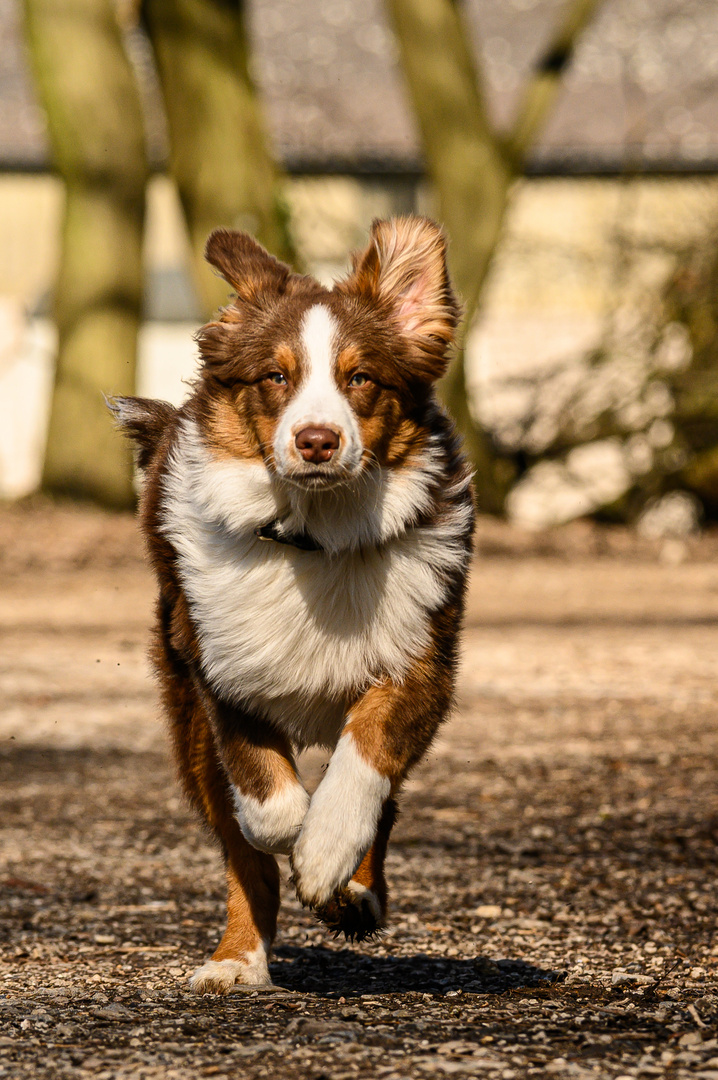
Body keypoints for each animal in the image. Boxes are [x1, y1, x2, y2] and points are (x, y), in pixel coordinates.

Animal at [109, 217, 472, 993]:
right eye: (275, 377)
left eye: (360, 378)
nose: (317, 441)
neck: (316, 537)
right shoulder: (219, 666)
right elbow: (268, 808)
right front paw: (297, 841)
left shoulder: (423, 660)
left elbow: (365, 765)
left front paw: (329, 857)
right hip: (185, 720)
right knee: (242, 850)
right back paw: (236, 959)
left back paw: (353, 892)